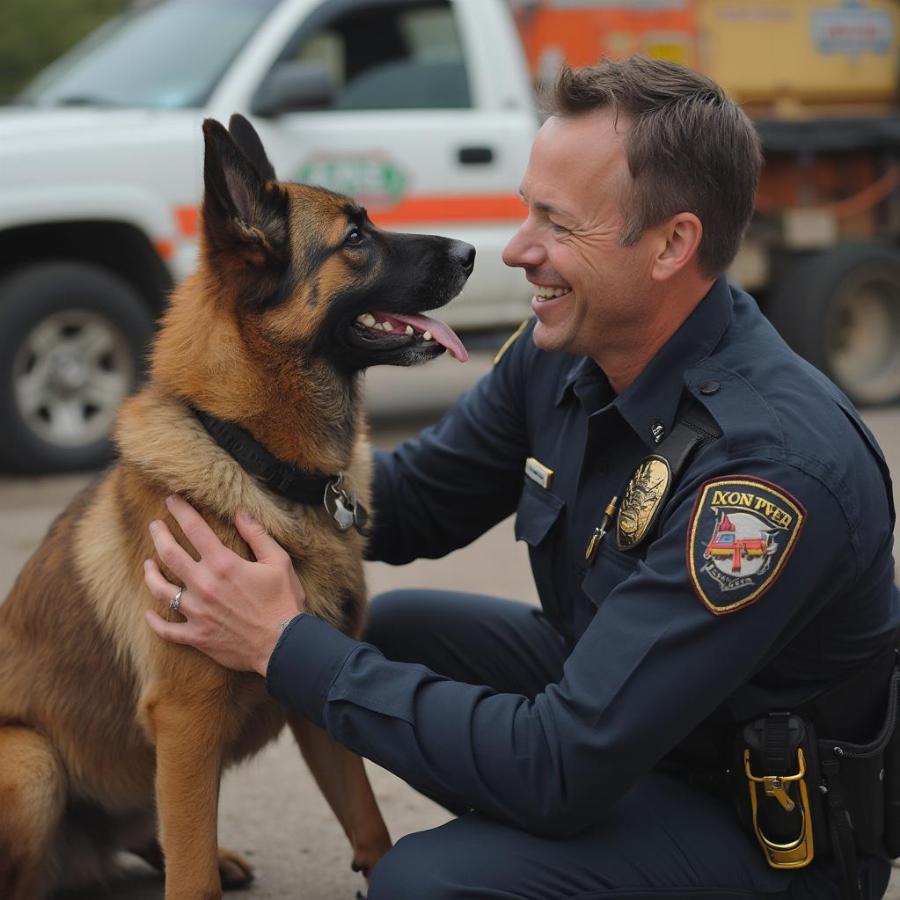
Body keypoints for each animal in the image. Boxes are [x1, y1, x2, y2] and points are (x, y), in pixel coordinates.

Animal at [0, 116, 474, 896]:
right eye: (355, 238)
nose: (470, 251)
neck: (253, 459)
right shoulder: (187, 721)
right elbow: (192, 878)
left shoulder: (316, 685)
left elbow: (368, 821)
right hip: (33, 764)